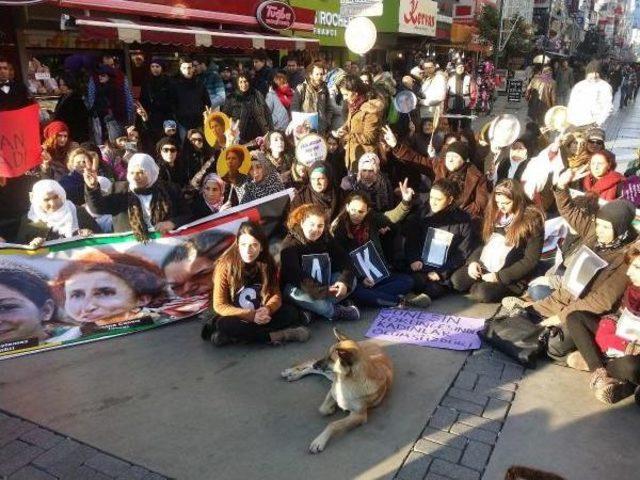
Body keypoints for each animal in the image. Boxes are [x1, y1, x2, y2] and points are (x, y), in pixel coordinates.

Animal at [282, 328, 392, 456]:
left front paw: (319, 441)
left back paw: (294, 374)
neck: (347, 380)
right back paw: (291, 371)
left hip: (329, 374)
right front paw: (331, 408)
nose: (316, 365)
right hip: (329, 374)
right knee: (310, 363)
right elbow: (322, 409)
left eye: (331, 359)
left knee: (312, 368)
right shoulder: (333, 390)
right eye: (327, 355)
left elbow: (333, 423)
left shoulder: (358, 416)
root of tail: (369, 343)